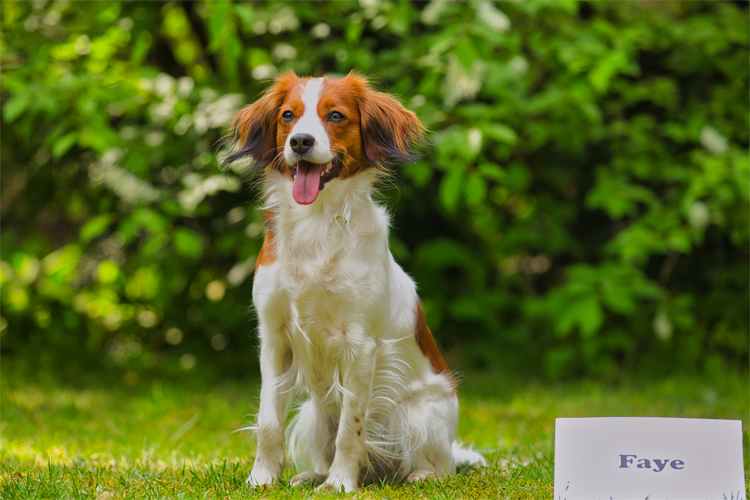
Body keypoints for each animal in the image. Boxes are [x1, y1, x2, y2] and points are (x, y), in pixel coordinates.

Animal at [223, 71, 488, 492]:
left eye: (335, 115)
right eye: (288, 115)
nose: (301, 141)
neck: (316, 223)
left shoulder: (360, 345)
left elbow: (352, 427)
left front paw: (340, 484)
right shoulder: (274, 337)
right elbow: (268, 421)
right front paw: (262, 478)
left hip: (421, 418)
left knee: (438, 465)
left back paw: (418, 474)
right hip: (314, 411)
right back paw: (312, 475)